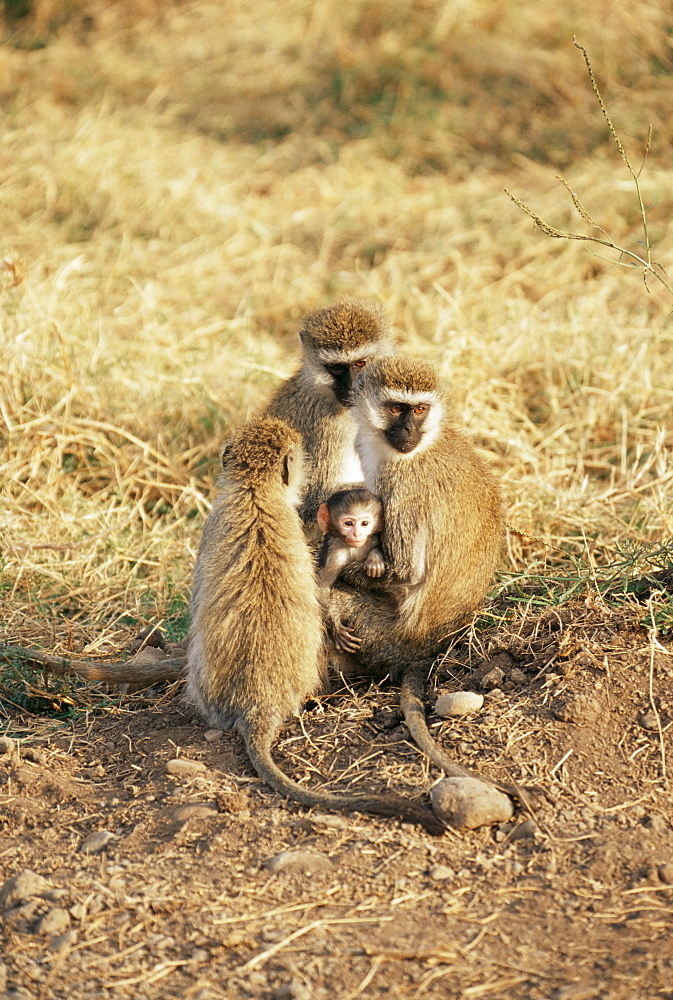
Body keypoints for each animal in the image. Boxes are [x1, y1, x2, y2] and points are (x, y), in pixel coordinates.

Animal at [318, 486, 386, 656]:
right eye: (348, 523)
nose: (357, 534)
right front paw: (335, 629)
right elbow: (322, 587)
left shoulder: (371, 539)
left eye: (365, 523)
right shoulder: (335, 552)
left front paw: (375, 560)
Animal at [328, 358, 506, 788]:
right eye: (397, 408)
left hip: (381, 635)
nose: (408, 431)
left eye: (420, 409)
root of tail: (430, 645)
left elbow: (406, 570)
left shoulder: (401, 483)